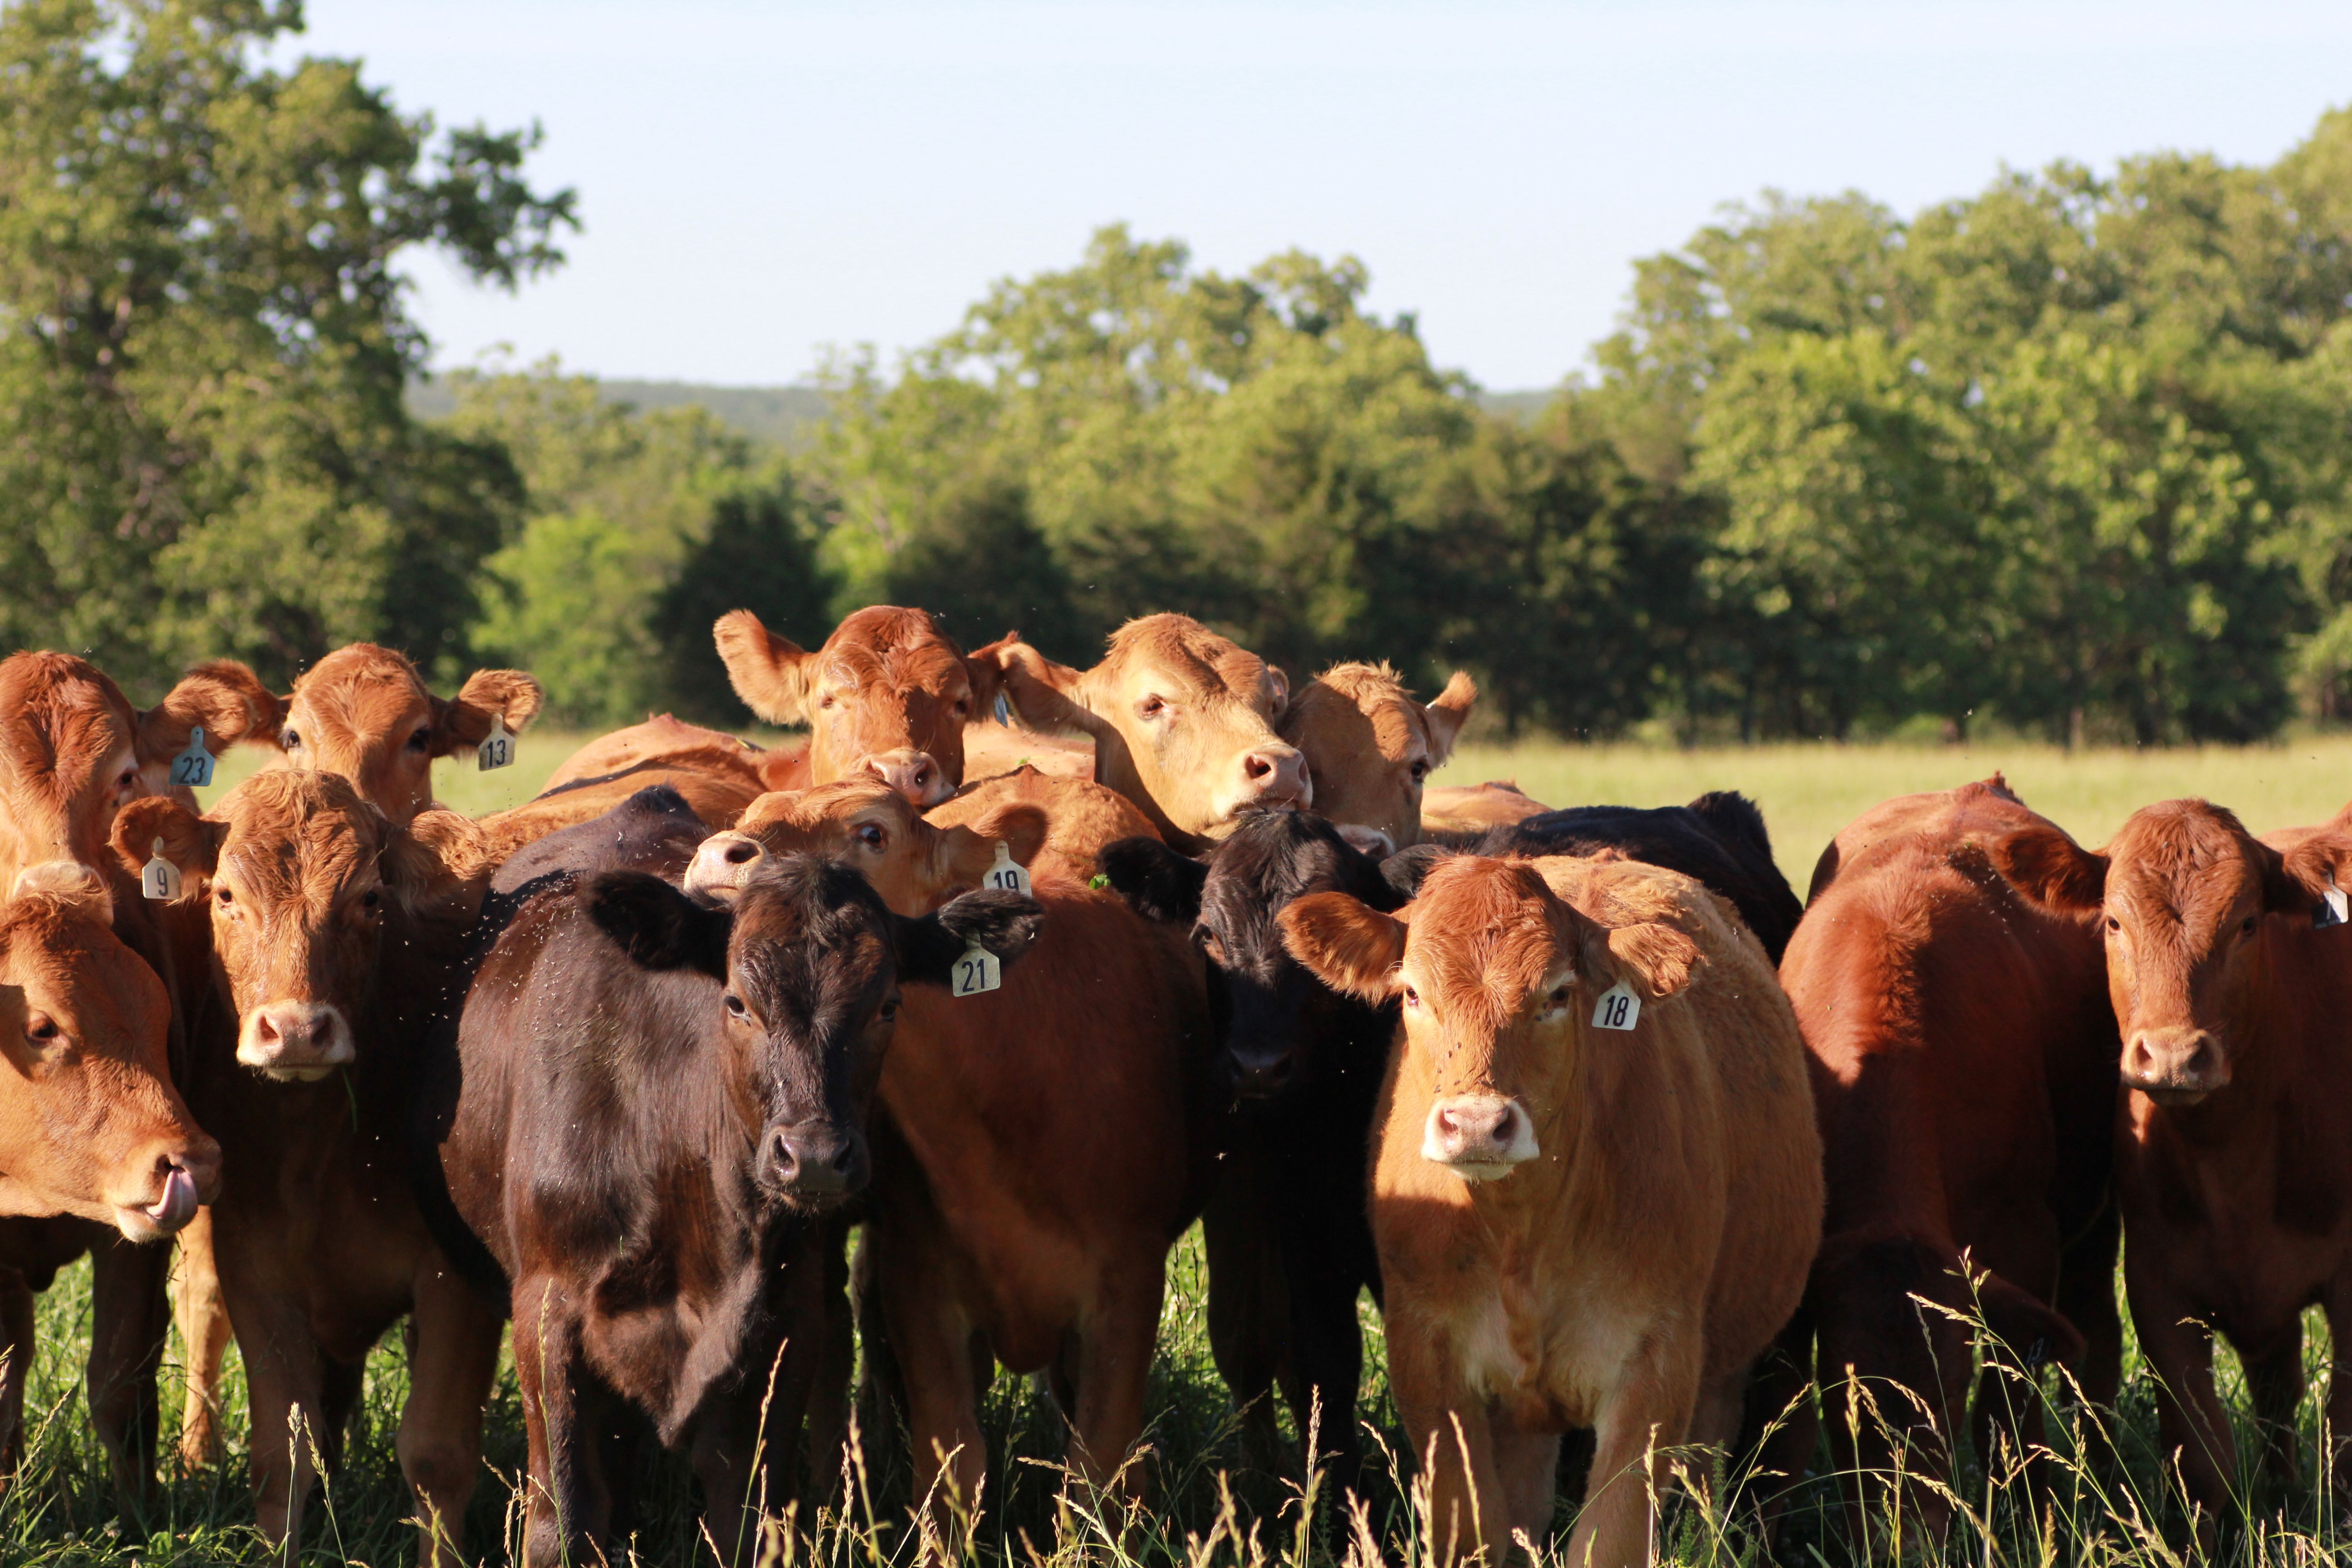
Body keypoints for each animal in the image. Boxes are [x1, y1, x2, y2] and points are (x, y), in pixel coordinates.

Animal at [110, 772, 498, 1560]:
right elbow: (281, 1453)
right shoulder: (255, 1266)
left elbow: (437, 1456)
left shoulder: (458, 1280)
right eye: (226, 896)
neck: (321, 1147)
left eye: (371, 899)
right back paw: (196, 1451)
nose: (295, 1030)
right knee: (202, 1314)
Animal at [417, 810, 1042, 1566]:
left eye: (888, 1005)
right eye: (738, 1003)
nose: (814, 1158)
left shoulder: (784, 1324)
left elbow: (748, 1520)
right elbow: (562, 1521)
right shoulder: (547, 1309)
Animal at [1280, 853, 1822, 1568]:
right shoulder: (1424, 1350)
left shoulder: (1657, 1362)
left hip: (1723, 1369)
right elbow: (1472, 1531)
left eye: (1557, 995)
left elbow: (1611, 1541)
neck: (1523, 1235)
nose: (1476, 1125)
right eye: (1413, 994)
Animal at [1770, 778, 2120, 1546]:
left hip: (2095, 1221)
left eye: (1950, 1388)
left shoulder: (2025, 1242)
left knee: (2100, 1343)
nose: (1907, 1535)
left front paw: (2033, 1524)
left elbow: (2008, 1411)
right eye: (1847, 1397)